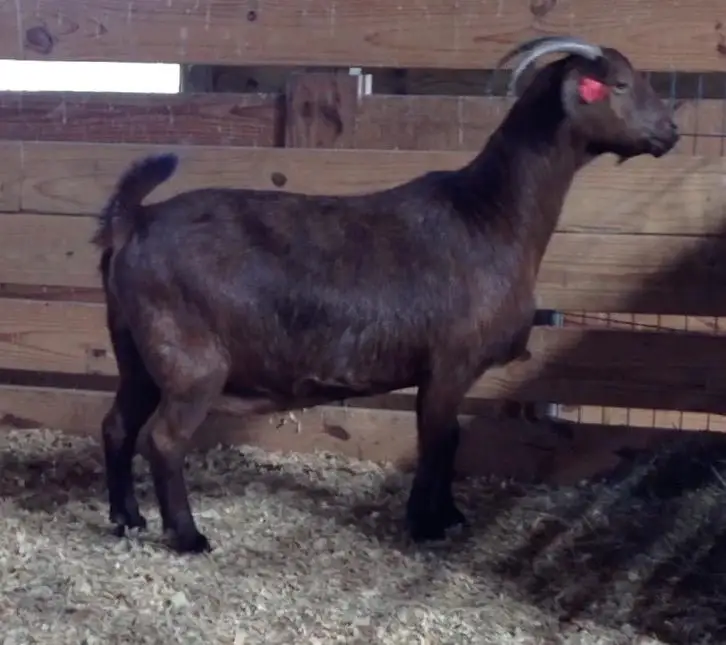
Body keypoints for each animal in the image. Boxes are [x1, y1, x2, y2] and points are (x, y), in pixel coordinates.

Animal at [92, 36, 679, 554]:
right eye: (620, 83)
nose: (671, 131)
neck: (490, 213)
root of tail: (134, 220)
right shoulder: (448, 364)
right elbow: (437, 441)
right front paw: (426, 525)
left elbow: (450, 439)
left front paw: (449, 515)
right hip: (190, 362)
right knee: (164, 439)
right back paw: (187, 536)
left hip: (137, 354)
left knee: (118, 424)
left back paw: (128, 518)